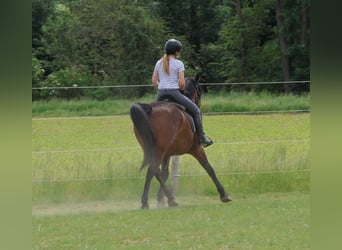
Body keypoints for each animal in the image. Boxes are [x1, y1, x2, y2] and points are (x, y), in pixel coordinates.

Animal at [129, 75, 232, 208]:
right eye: (199, 92)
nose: (199, 104)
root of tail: (149, 109)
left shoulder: (167, 154)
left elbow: (165, 174)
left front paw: (161, 199)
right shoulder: (196, 149)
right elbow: (209, 168)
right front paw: (224, 194)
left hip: (153, 150)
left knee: (155, 171)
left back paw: (168, 199)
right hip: (159, 151)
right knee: (151, 170)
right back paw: (146, 202)